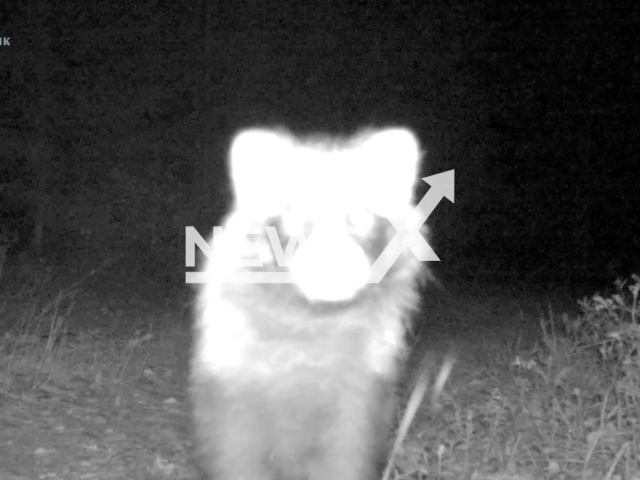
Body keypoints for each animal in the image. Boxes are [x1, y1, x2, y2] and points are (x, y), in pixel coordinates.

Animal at [191, 127, 430, 480]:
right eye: (294, 216)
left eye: (357, 216)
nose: (330, 265)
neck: (315, 319)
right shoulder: (231, 396)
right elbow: (236, 456)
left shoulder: (360, 401)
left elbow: (347, 458)